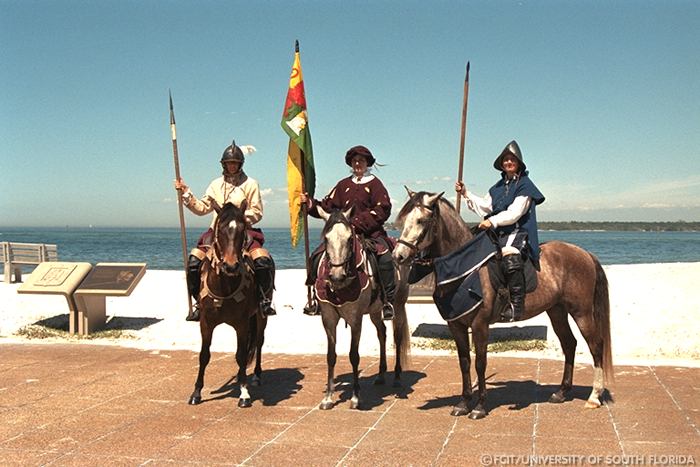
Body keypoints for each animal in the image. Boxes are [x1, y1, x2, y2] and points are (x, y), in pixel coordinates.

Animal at [187, 201, 266, 410]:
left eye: (242, 228)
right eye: (220, 229)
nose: (230, 266)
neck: (224, 285)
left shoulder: (241, 324)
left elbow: (241, 355)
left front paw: (244, 393)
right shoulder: (206, 323)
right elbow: (204, 355)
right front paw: (196, 392)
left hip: (261, 316)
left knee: (259, 342)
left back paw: (256, 376)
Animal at [316, 207, 412, 410]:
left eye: (349, 239)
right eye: (326, 239)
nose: (337, 276)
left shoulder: (355, 319)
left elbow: (354, 355)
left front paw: (355, 397)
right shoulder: (328, 319)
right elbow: (330, 355)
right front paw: (328, 397)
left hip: (399, 305)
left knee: (397, 337)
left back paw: (397, 377)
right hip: (376, 311)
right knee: (382, 333)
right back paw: (381, 374)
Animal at [394, 190, 612, 420]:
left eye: (421, 220)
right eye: (404, 220)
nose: (399, 255)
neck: (464, 268)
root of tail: (585, 254)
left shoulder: (480, 325)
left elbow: (480, 363)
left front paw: (480, 406)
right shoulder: (456, 325)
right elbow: (464, 362)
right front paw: (463, 403)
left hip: (582, 313)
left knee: (596, 346)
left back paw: (594, 397)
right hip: (557, 312)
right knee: (569, 344)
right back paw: (561, 392)